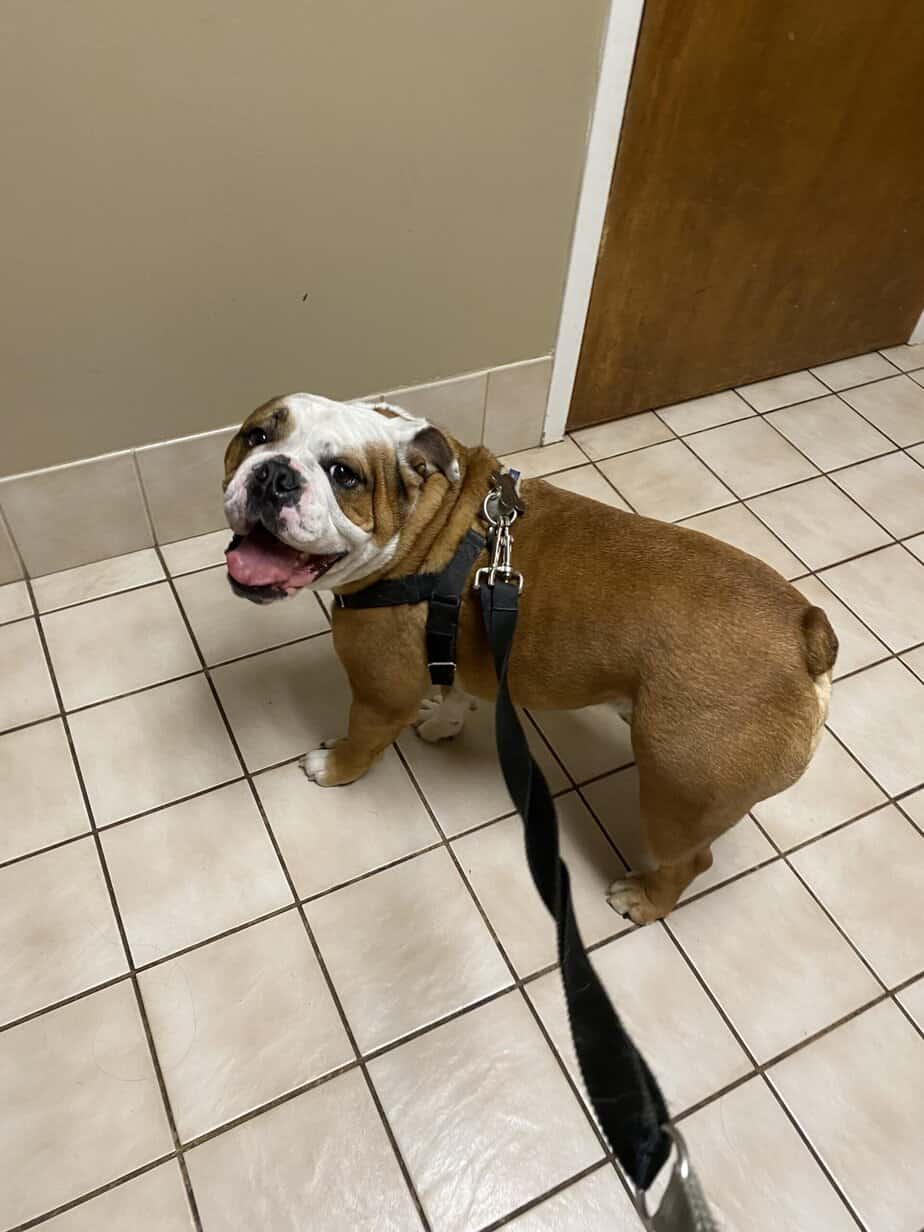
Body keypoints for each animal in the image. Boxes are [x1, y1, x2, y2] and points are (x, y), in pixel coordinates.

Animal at [223, 392, 837, 923]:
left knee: (690, 860)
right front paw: (443, 721)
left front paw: (333, 768)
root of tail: (804, 633)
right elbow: (456, 693)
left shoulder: (380, 695)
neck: (426, 528)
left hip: (677, 793)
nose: (275, 474)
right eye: (257, 436)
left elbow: (360, 741)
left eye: (343, 474)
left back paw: (643, 902)